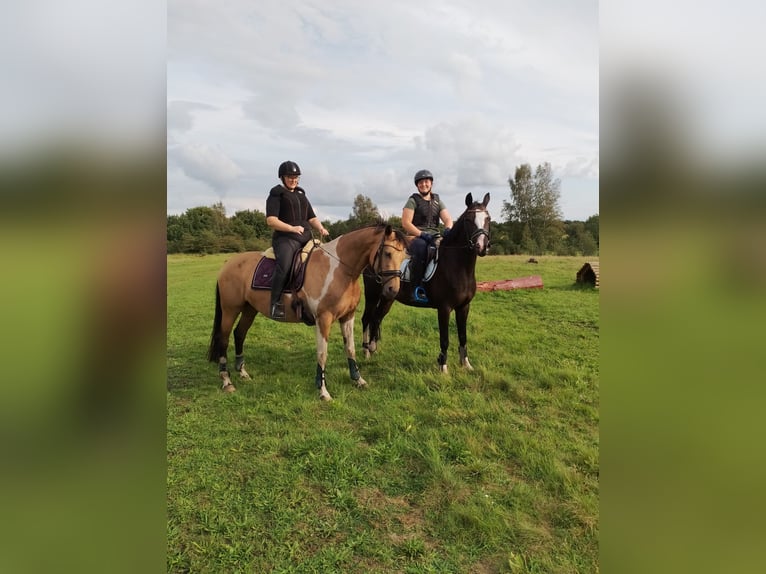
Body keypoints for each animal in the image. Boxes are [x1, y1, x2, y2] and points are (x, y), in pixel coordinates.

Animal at [207, 223, 408, 400]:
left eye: (404, 256)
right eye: (388, 253)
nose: (393, 290)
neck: (340, 269)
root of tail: (228, 264)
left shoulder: (348, 316)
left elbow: (350, 348)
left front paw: (358, 380)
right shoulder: (323, 319)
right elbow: (322, 354)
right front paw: (323, 391)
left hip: (249, 309)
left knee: (239, 334)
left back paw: (242, 372)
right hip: (230, 310)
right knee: (223, 339)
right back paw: (227, 381)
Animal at [361, 193, 491, 373]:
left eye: (488, 218)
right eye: (468, 220)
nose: (482, 246)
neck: (458, 267)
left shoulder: (464, 307)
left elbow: (463, 336)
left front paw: (466, 364)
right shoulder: (444, 308)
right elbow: (445, 339)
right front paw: (443, 367)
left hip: (388, 297)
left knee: (376, 318)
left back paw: (373, 348)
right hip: (372, 295)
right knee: (366, 319)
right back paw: (366, 351)